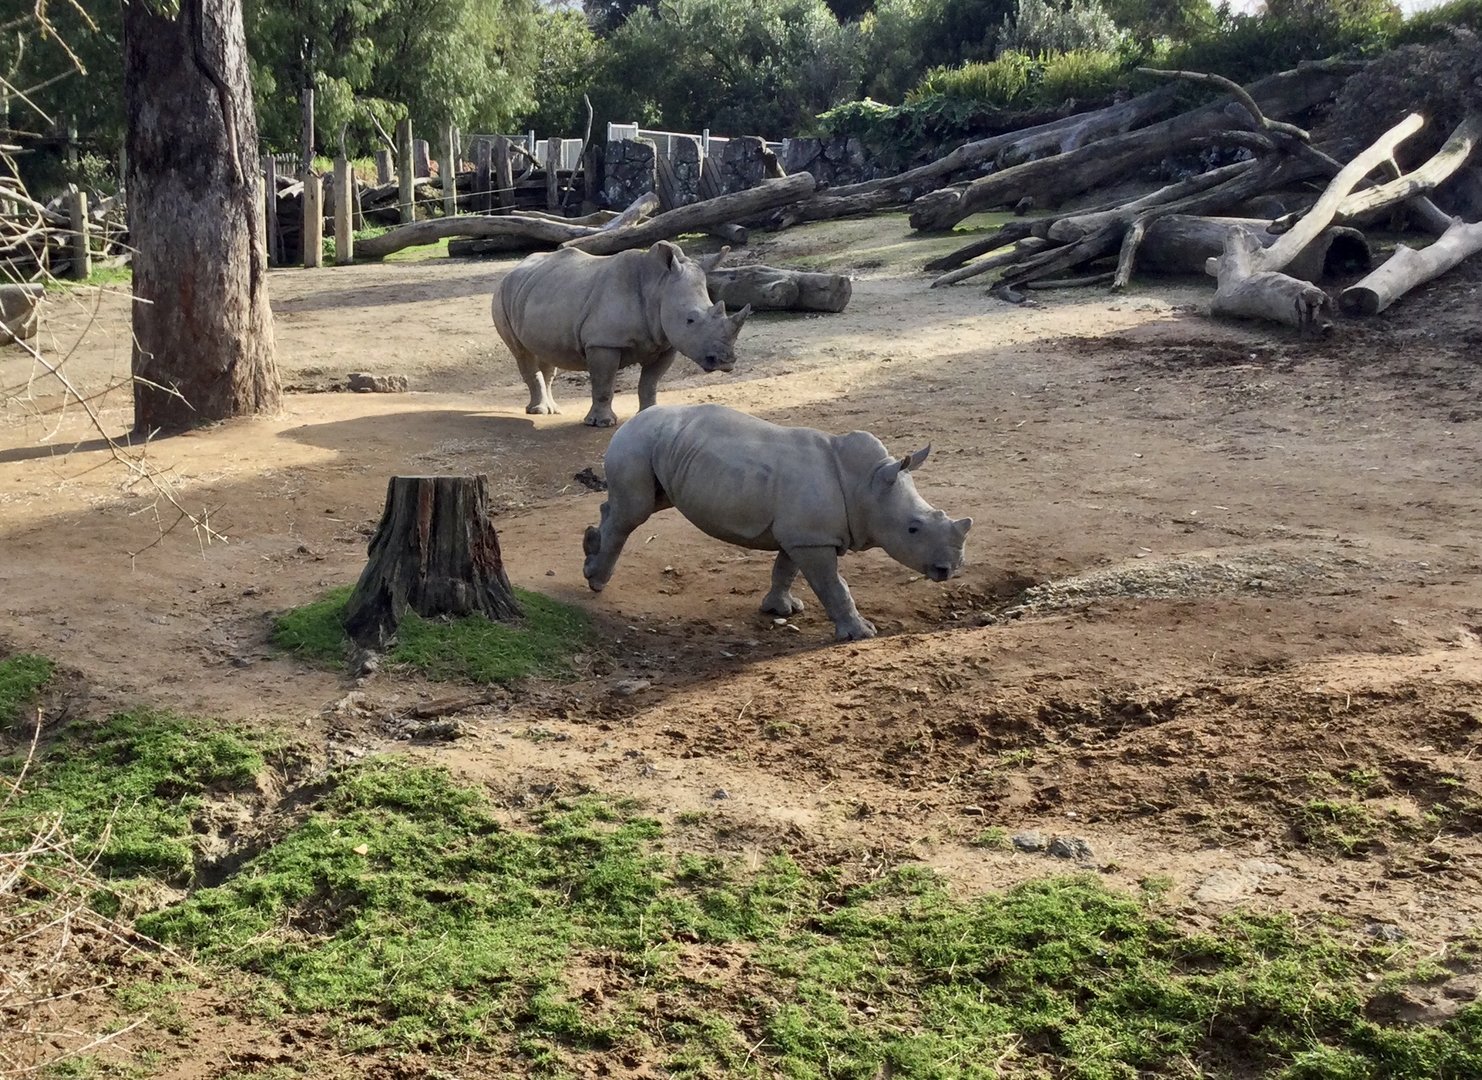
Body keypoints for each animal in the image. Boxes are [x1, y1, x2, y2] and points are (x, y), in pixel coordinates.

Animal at [491, 241, 752, 427]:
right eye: (690, 320)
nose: (726, 361)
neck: (658, 286)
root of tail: (515, 268)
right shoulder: (603, 343)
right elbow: (604, 383)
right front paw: (601, 423)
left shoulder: (666, 343)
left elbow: (649, 383)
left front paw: (648, 414)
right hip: (502, 293)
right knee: (521, 352)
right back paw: (538, 411)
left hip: (537, 291)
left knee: (545, 354)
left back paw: (553, 410)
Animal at [582, 404, 973, 641]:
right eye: (912, 529)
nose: (950, 569)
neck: (867, 484)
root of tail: (632, 420)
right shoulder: (812, 539)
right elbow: (833, 586)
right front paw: (861, 633)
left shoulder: (802, 535)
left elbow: (785, 569)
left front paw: (780, 610)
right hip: (637, 445)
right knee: (634, 513)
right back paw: (596, 581)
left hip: (661, 447)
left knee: (638, 505)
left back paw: (591, 548)